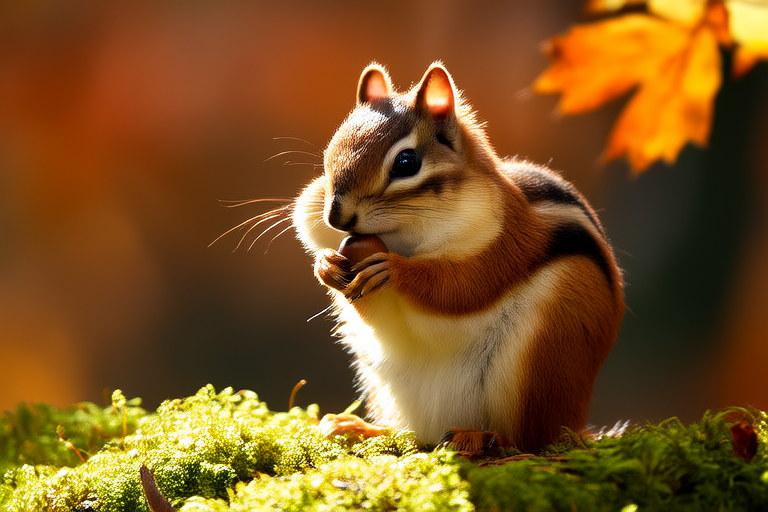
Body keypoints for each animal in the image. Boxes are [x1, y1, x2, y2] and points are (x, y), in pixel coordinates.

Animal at [292, 62, 625, 453]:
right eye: (331, 149)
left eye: (406, 162)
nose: (335, 217)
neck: (404, 236)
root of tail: (577, 423)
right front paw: (326, 265)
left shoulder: (504, 244)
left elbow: (462, 288)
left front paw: (395, 270)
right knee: (410, 432)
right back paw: (358, 427)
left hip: (540, 367)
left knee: (531, 439)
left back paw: (482, 437)